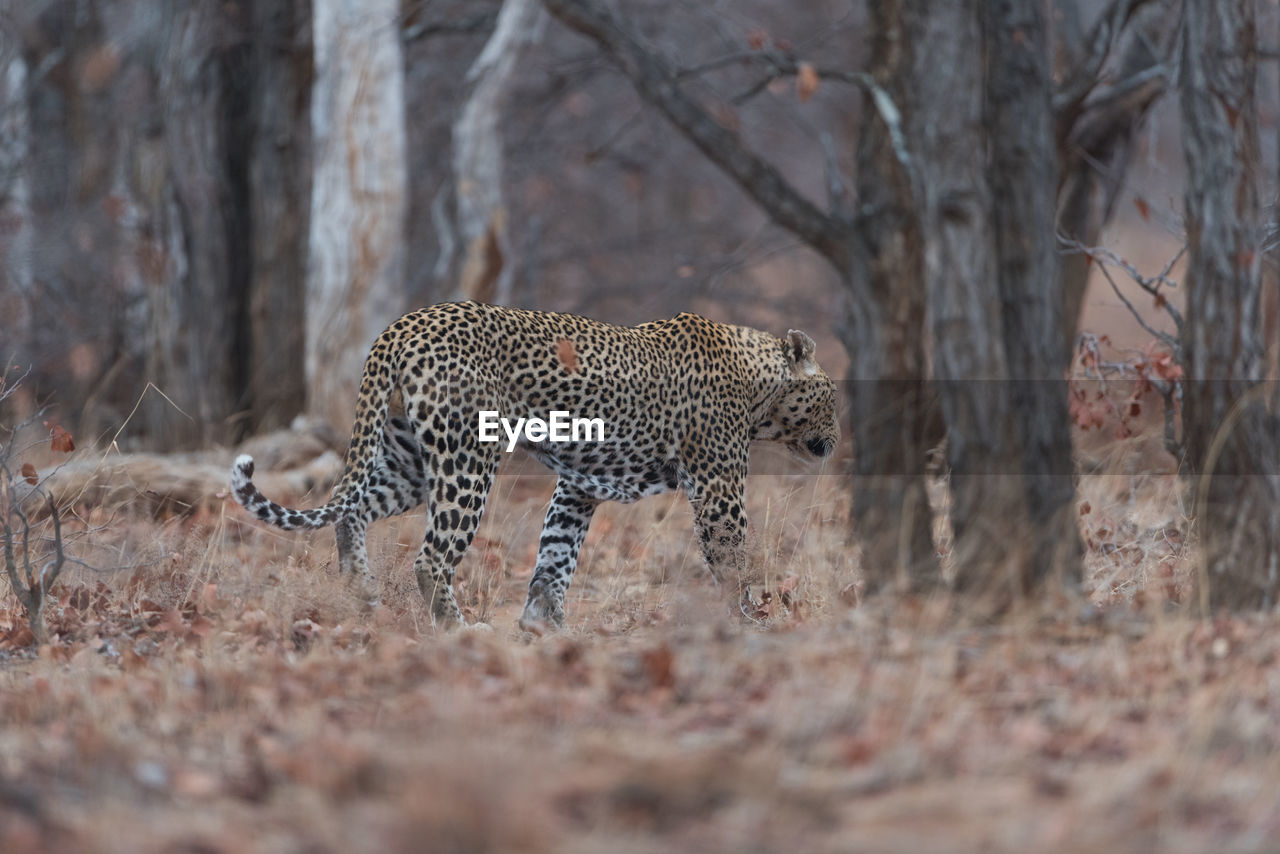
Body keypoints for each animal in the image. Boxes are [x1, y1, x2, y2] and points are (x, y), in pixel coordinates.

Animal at [230, 299, 839, 627]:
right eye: (833, 396)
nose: (835, 439)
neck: (761, 388)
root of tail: (403, 324)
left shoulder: (579, 488)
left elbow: (555, 559)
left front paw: (543, 630)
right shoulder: (718, 487)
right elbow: (732, 559)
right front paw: (748, 622)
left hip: (408, 459)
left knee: (350, 510)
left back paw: (364, 597)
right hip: (466, 459)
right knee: (431, 558)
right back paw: (458, 632)